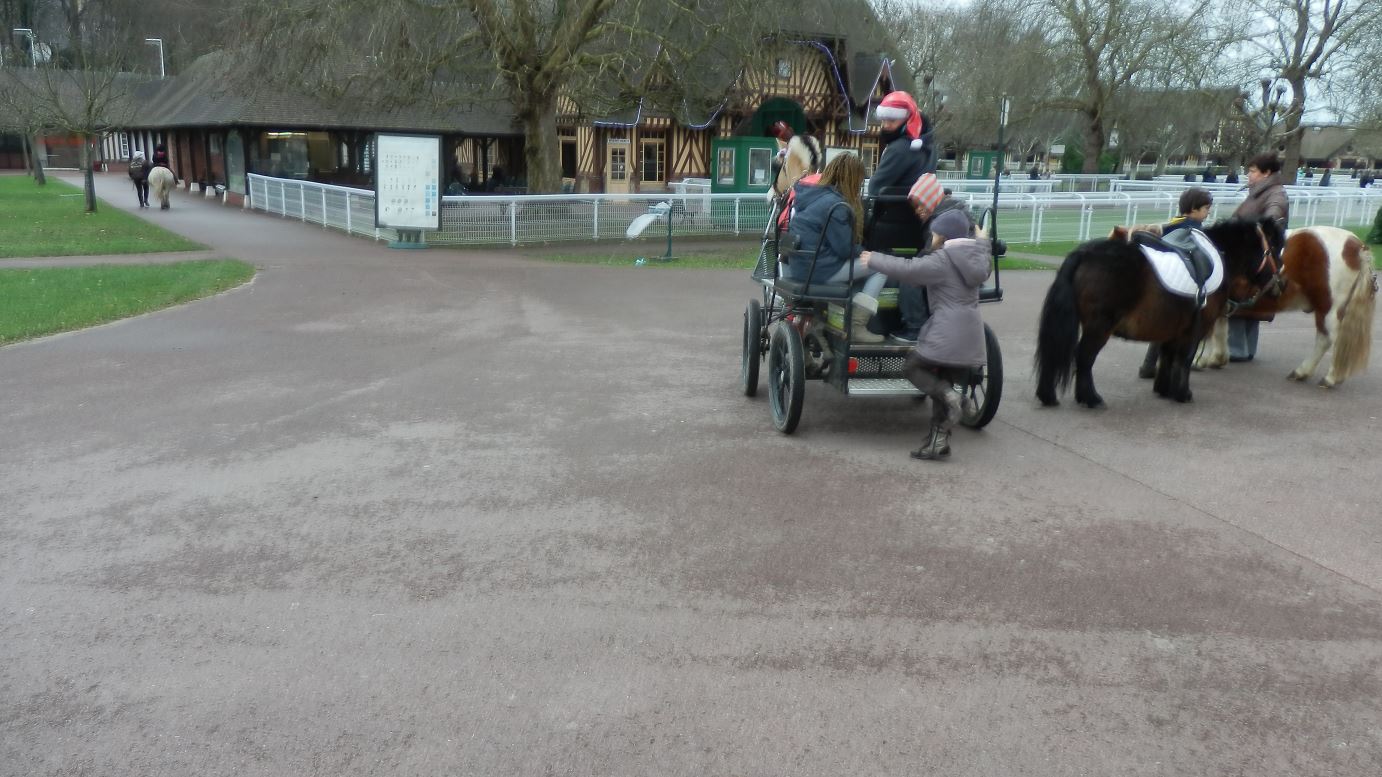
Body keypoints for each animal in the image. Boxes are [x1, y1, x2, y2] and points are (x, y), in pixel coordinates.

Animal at [1035, 218, 1280, 408]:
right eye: (1275, 250)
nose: (1279, 286)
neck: (1218, 256)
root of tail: (1085, 253)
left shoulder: (1173, 328)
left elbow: (1168, 356)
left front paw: (1164, 389)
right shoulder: (1194, 331)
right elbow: (1184, 358)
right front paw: (1182, 393)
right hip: (1099, 327)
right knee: (1084, 357)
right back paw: (1091, 398)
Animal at [1195, 225, 1377, 387]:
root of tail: (1355, 245)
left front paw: (1198, 360)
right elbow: (1219, 329)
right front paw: (1217, 358)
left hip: (1328, 308)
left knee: (1330, 340)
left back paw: (1328, 377)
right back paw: (1305, 372)